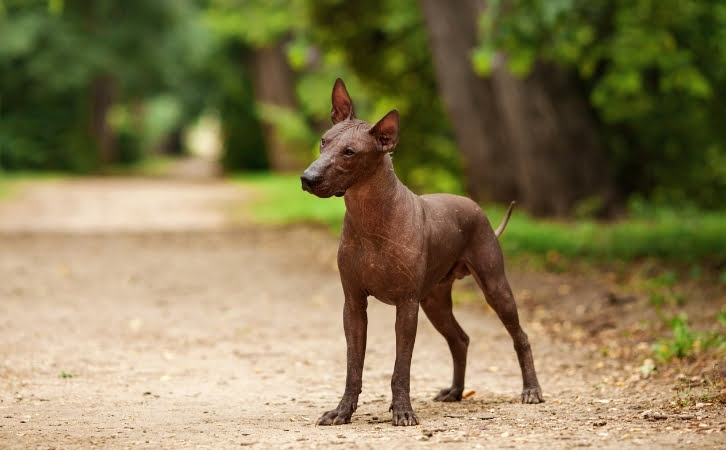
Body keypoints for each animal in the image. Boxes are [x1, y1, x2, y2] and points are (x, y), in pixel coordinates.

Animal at [298, 79, 544, 428]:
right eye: (324, 141)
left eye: (349, 152)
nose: (308, 178)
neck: (370, 217)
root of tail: (476, 208)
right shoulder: (354, 306)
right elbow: (353, 367)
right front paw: (342, 411)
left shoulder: (407, 306)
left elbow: (401, 368)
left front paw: (402, 410)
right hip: (435, 301)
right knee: (460, 339)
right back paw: (455, 391)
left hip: (494, 285)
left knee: (520, 336)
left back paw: (531, 390)